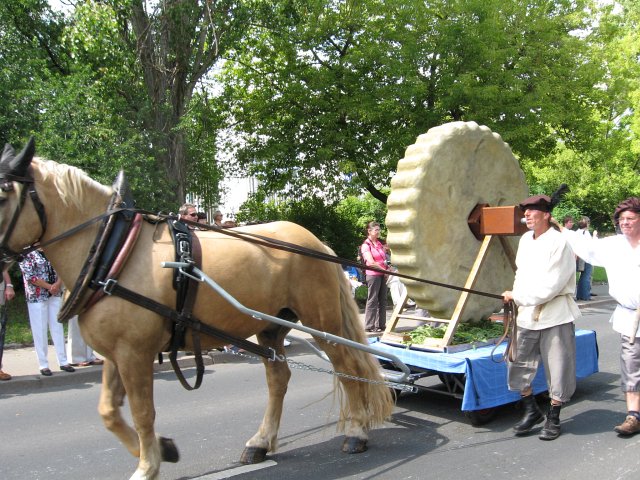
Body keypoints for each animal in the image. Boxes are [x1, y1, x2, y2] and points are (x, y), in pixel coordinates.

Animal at [0, 140, 396, 480]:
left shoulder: (134, 353)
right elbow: (109, 412)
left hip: (321, 321)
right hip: (271, 326)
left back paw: (356, 432)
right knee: (279, 379)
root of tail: (316, 243)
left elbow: (143, 412)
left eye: (4, 190)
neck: (113, 252)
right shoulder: (117, 354)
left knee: (347, 369)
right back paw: (261, 441)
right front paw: (161, 449)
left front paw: (148, 464)